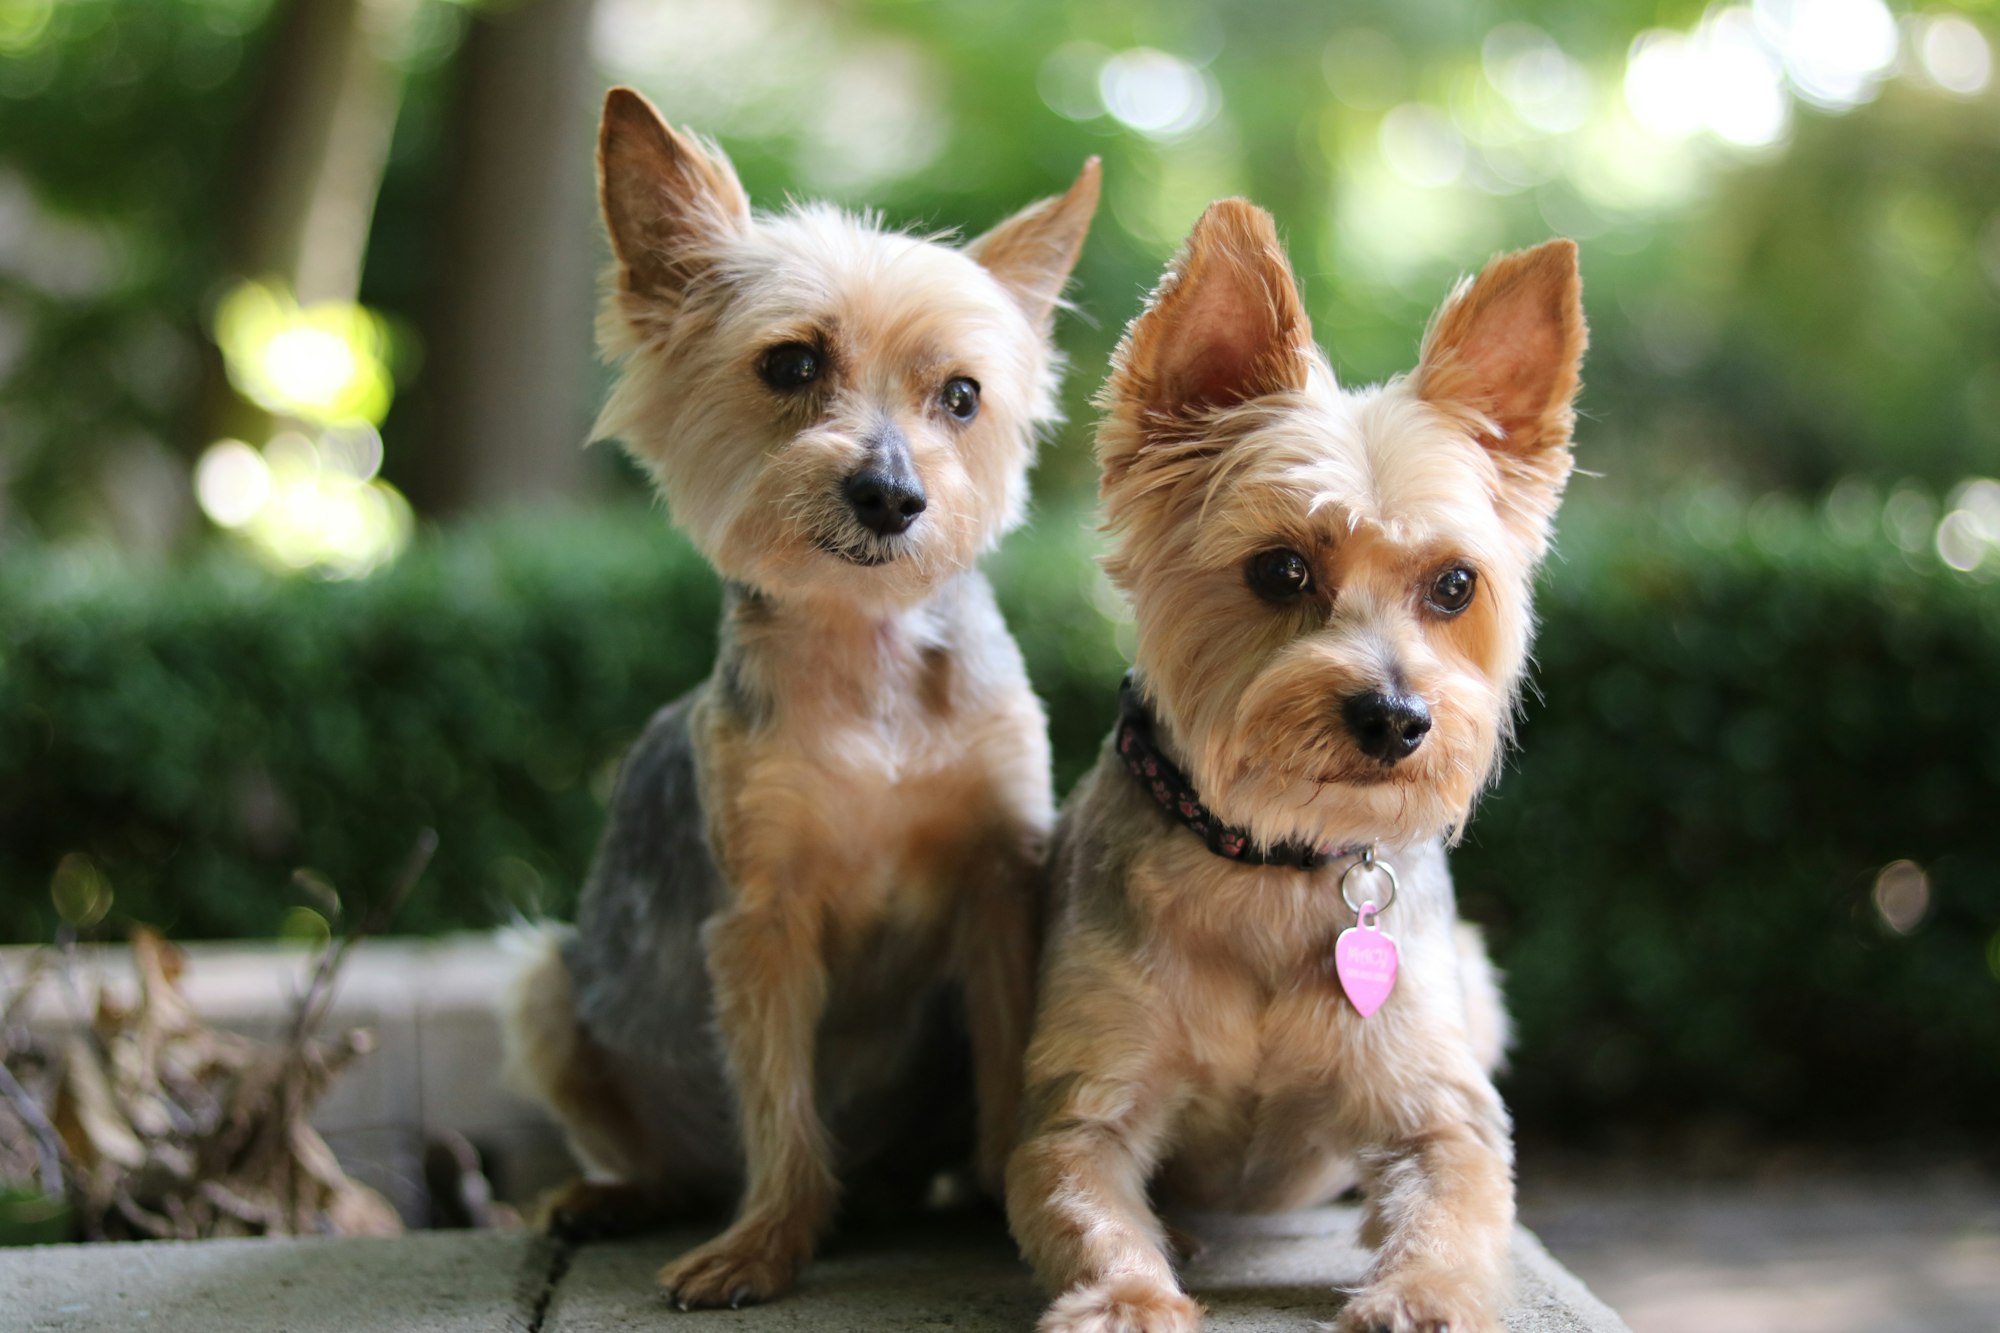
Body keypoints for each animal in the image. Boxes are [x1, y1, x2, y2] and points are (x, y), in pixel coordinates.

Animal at [496, 88, 1096, 1304]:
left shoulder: (996, 882)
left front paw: (1015, 1195)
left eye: (962, 396)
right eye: (789, 364)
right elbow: (776, 1098)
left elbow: (1012, 1047)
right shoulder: (763, 919)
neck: (866, 653)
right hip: (541, 985)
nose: (891, 494)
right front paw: (766, 1241)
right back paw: (615, 1194)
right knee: (659, 1151)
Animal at [1008, 200, 1584, 1328]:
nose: (1396, 718)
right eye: (1279, 569)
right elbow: (1088, 1202)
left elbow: (1455, 1202)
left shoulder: (1440, 1109)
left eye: (1455, 585)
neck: (1268, 858)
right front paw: (1129, 1297)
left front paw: (1420, 1293)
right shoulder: (1080, 1105)